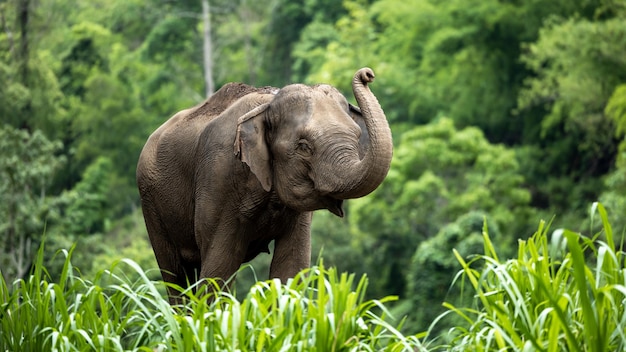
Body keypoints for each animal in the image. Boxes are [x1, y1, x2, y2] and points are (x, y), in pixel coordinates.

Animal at [136, 66, 390, 302]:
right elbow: (219, 269)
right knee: (176, 275)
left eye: (357, 136)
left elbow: (292, 266)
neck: (268, 104)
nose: (368, 74)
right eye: (303, 146)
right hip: (151, 202)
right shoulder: (219, 176)